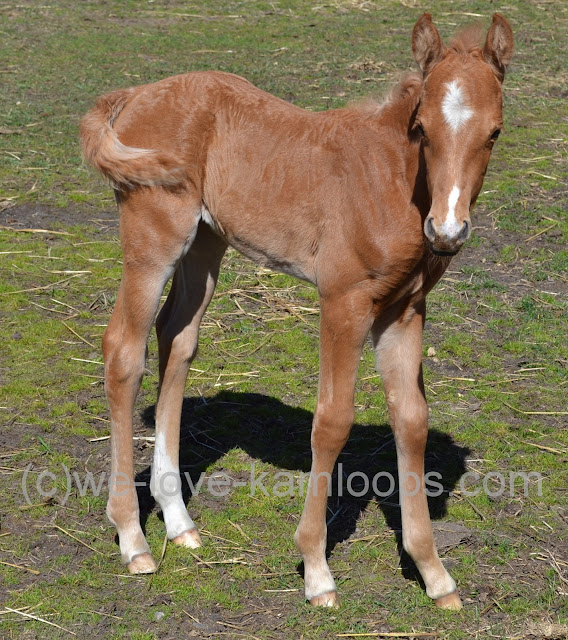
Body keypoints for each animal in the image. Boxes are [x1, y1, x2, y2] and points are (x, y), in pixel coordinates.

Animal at [81, 12, 516, 608]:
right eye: (422, 128)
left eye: (493, 132)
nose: (447, 233)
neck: (390, 181)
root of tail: (134, 94)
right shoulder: (343, 302)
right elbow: (331, 422)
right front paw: (315, 569)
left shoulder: (403, 311)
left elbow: (412, 421)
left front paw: (434, 573)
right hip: (154, 239)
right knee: (124, 353)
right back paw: (132, 538)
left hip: (205, 243)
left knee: (177, 339)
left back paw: (179, 520)